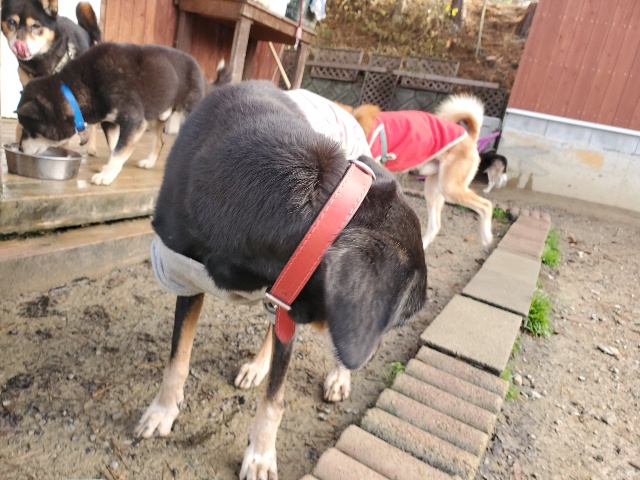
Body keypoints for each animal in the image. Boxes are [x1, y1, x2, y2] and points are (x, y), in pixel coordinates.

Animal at [16, 42, 212, 186]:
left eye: (30, 131)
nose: (20, 149)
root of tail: (200, 70)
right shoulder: (110, 123)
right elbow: (115, 147)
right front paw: (110, 169)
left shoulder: (134, 121)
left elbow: (119, 151)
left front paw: (107, 175)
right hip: (154, 118)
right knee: (159, 142)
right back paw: (149, 163)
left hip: (188, 115)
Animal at [135, 80, 427, 479]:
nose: (373, 353)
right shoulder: (184, 274)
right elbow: (177, 359)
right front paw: (162, 411)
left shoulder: (290, 295)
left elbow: (274, 398)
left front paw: (259, 455)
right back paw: (259, 367)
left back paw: (338, 376)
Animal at [348, 95, 494, 249]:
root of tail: (469, 136)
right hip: (432, 190)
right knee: (436, 225)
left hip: (449, 189)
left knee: (486, 205)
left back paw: (486, 237)